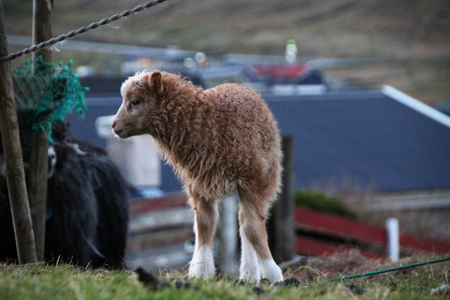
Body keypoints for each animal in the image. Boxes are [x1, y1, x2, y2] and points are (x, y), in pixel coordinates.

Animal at [110, 71, 284, 284]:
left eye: (135, 101)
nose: (114, 125)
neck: (206, 123)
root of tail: (240, 86)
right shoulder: (199, 183)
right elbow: (204, 225)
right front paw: (200, 271)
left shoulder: (251, 180)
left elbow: (252, 228)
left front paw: (274, 274)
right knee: (242, 221)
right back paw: (249, 274)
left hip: (268, 174)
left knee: (248, 224)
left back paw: (251, 272)